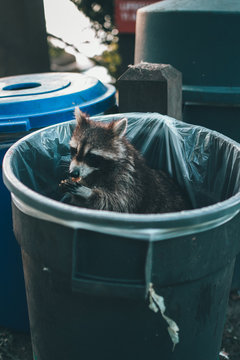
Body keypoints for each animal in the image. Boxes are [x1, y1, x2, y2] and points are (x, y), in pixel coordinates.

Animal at [60, 107, 191, 214]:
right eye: (75, 150)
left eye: (91, 156)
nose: (73, 173)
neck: (97, 170)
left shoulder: (127, 179)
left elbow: (118, 204)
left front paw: (88, 192)